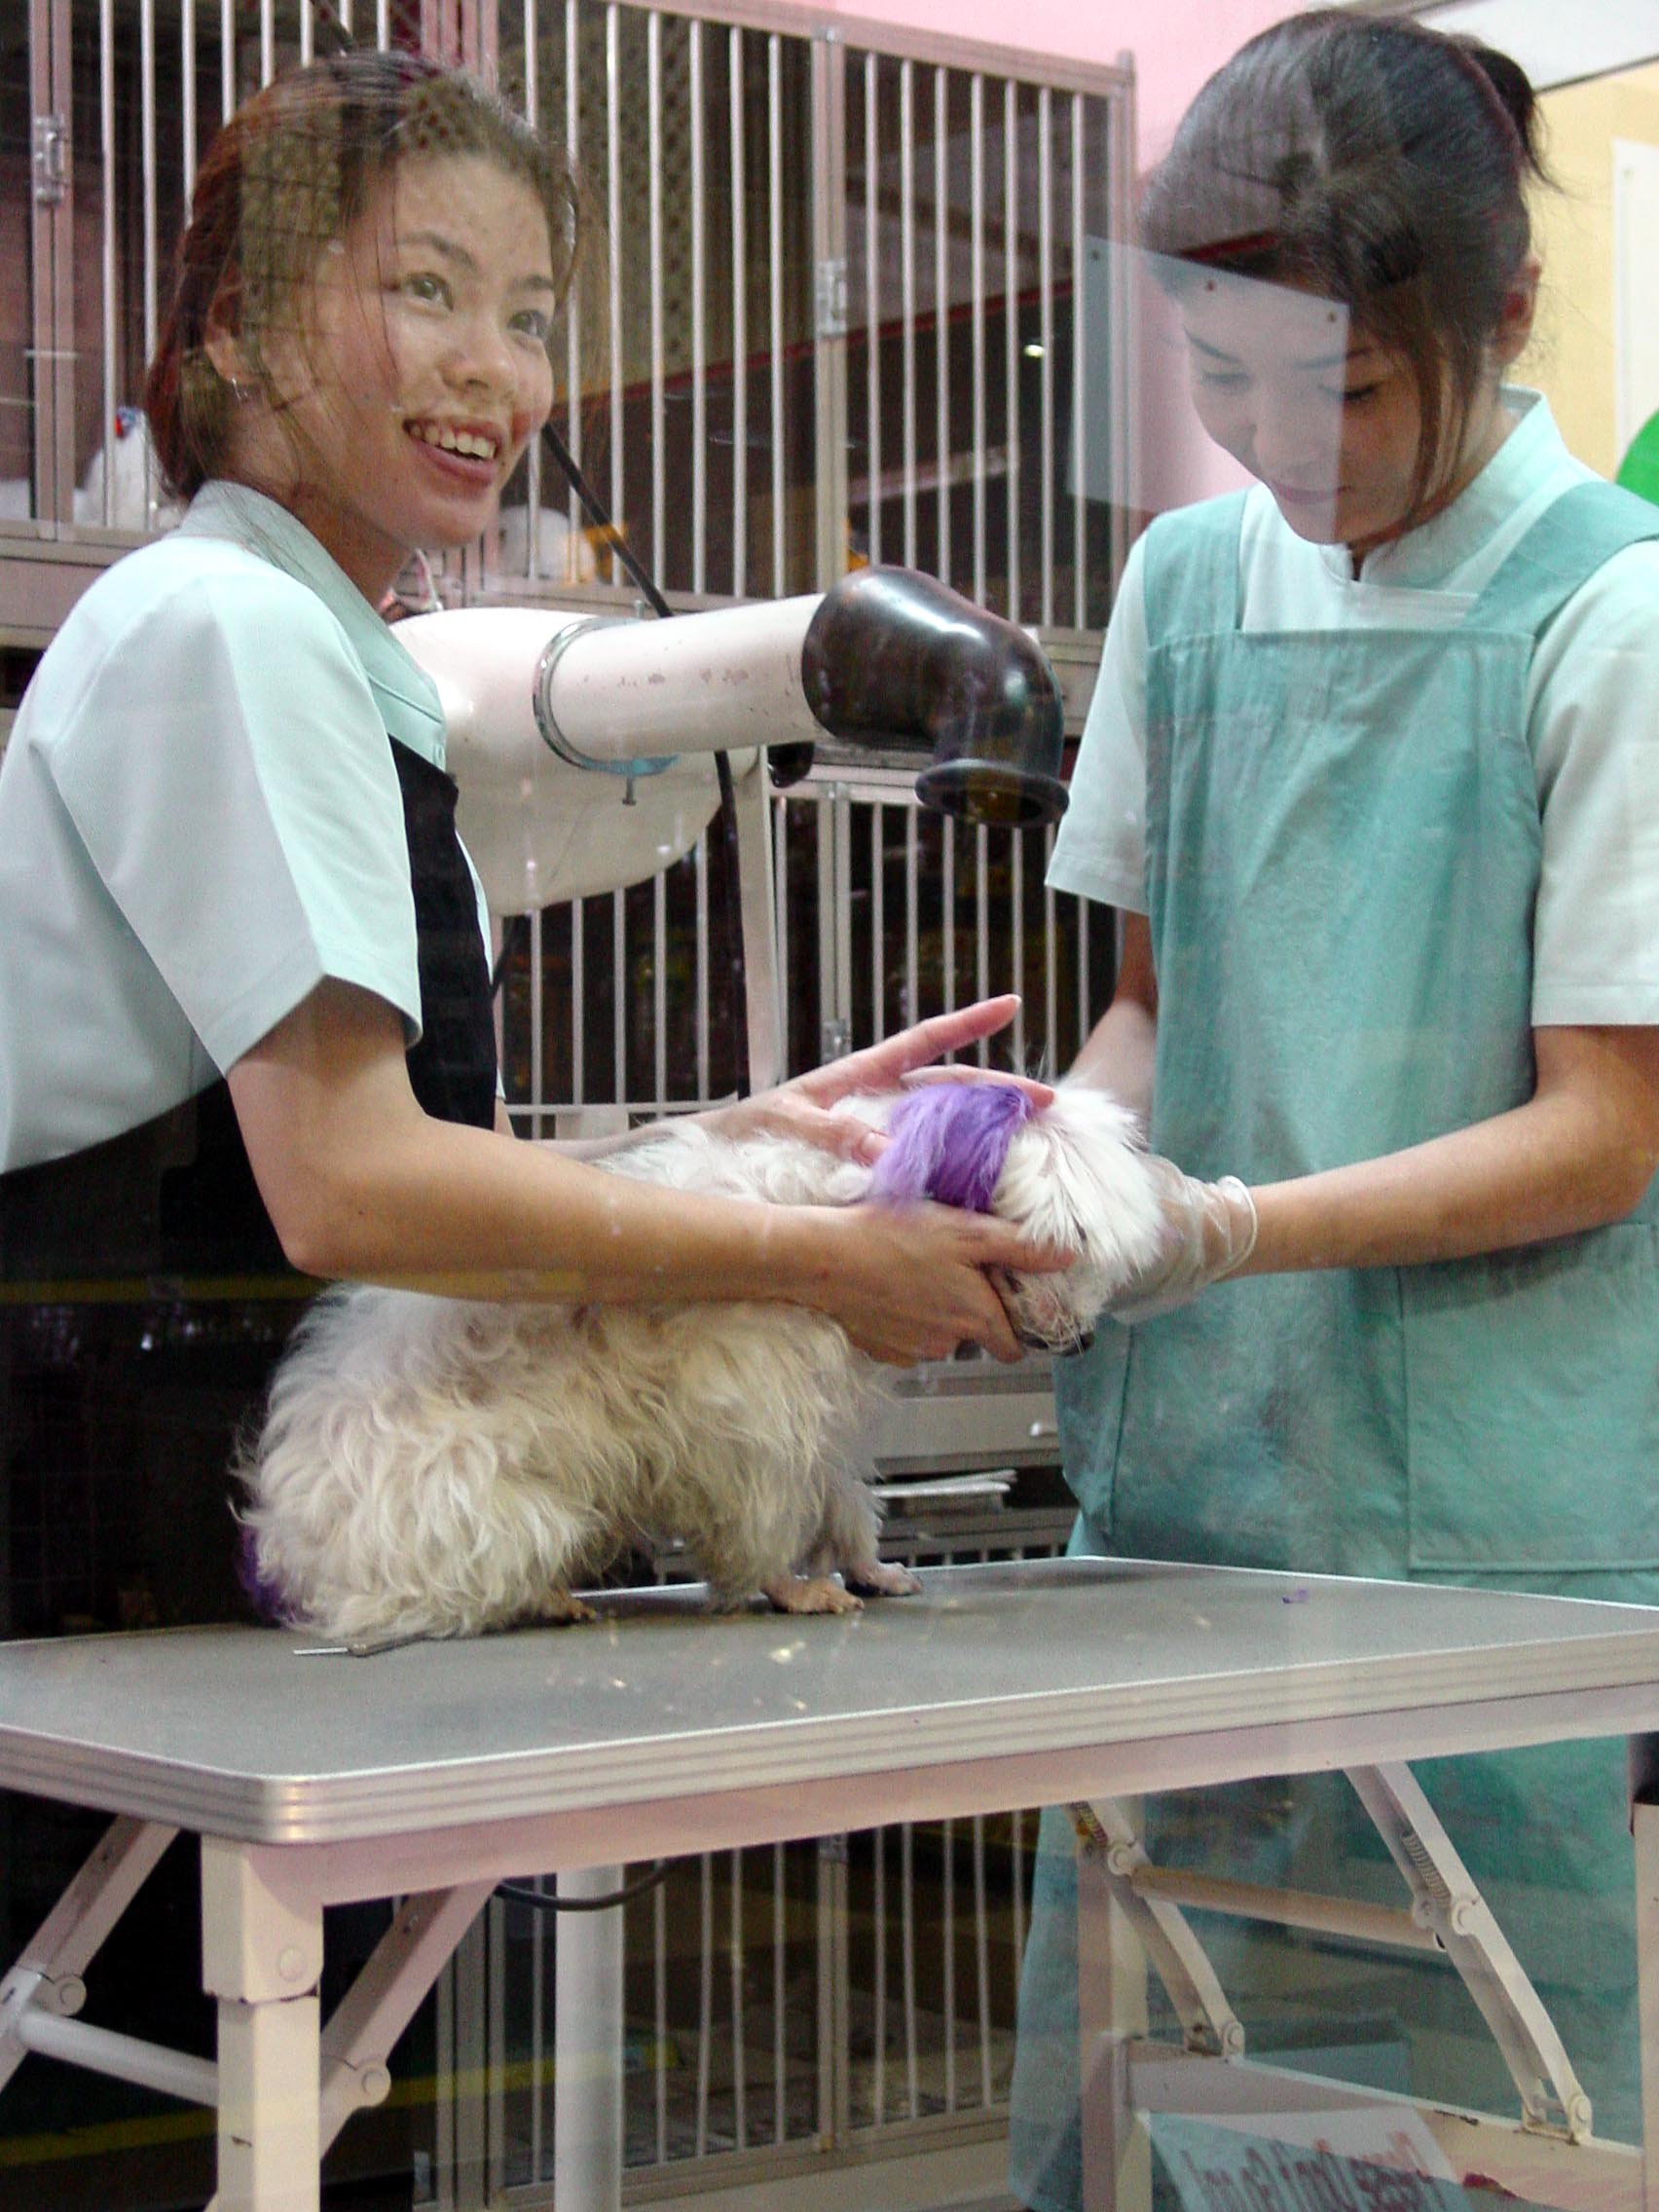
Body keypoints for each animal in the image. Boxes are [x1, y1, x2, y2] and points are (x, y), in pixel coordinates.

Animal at [237, 1079, 1167, 1637]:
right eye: (1061, 1242)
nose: (1083, 1340)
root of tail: (300, 1545)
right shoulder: (753, 1414)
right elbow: (765, 1516)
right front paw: (793, 1587)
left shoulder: (821, 1417)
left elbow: (842, 1500)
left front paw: (869, 1567)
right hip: (510, 1506)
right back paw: (548, 1597)